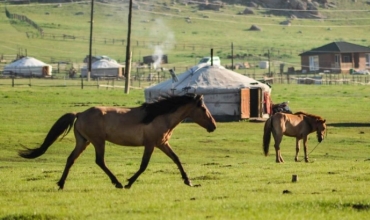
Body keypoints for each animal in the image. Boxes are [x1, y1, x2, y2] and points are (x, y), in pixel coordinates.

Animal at [18, 93, 217, 189]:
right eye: (203, 109)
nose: (213, 126)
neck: (159, 116)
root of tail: (80, 114)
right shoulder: (151, 144)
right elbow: (144, 166)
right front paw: (128, 183)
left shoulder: (162, 144)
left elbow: (176, 159)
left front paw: (188, 181)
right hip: (98, 141)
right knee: (100, 161)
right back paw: (117, 183)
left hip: (83, 142)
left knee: (71, 159)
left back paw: (61, 184)